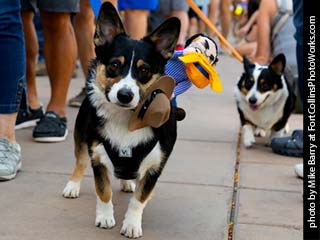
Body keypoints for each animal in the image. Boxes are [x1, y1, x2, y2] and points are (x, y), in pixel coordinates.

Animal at [62, 2, 181, 239]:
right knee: (80, 162)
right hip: (81, 137)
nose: (125, 95)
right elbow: (103, 190)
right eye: (114, 65)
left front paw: (132, 224)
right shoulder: (97, 156)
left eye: (144, 71)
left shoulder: (155, 166)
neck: (126, 119)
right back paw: (73, 185)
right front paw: (105, 218)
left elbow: (139, 199)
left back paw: (127, 182)